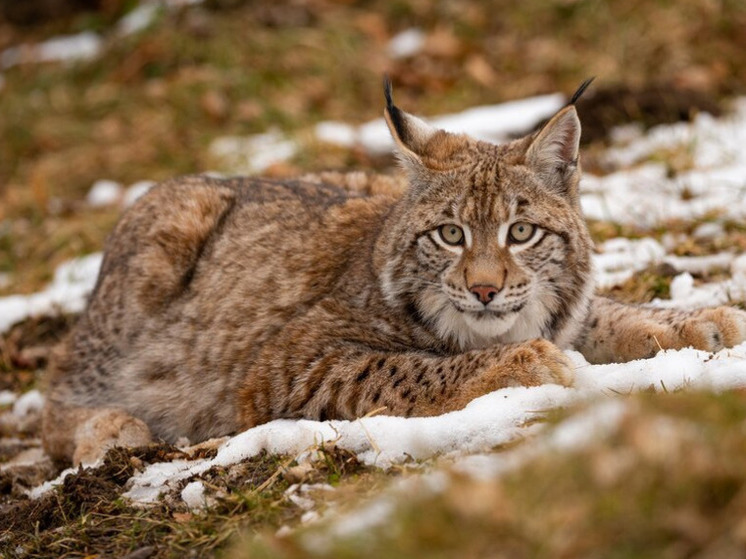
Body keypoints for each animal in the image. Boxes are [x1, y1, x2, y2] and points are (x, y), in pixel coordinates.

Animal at [42, 79, 744, 464]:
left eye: (520, 232)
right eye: (450, 234)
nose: (484, 289)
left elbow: (605, 312)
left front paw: (699, 322)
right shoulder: (285, 363)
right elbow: (405, 368)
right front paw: (520, 364)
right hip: (161, 246)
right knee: (57, 399)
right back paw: (113, 430)